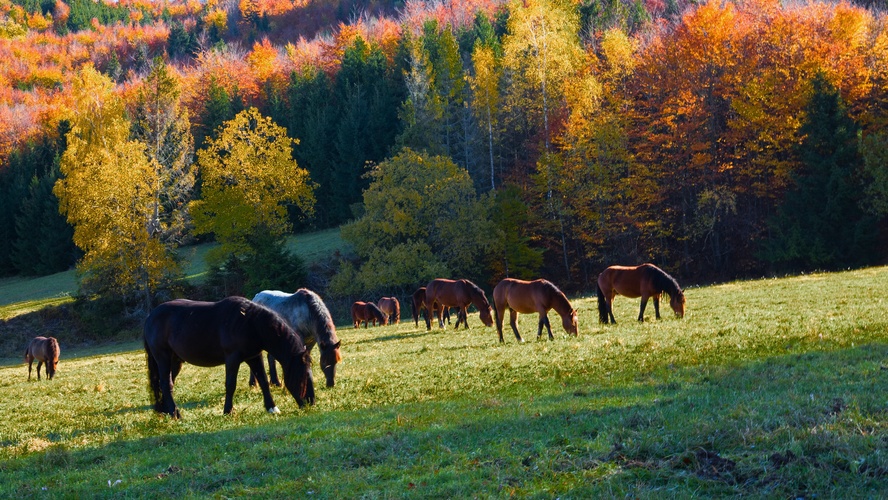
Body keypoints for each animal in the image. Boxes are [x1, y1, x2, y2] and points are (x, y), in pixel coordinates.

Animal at [143, 296, 316, 418]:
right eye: (302, 376)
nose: (310, 403)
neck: (251, 323)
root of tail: (150, 317)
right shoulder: (233, 358)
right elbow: (231, 384)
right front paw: (228, 411)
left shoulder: (254, 356)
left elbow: (263, 381)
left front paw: (272, 408)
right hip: (163, 357)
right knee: (166, 384)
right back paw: (176, 414)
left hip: (175, 361)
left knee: (164, 384)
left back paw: (166, 411)